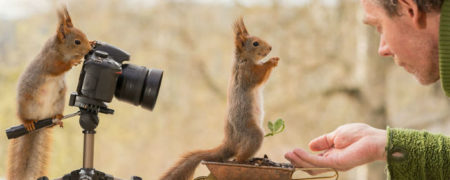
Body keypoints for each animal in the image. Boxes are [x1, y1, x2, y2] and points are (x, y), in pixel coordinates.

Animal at [5, 5, 93, 180]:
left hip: (58, 103)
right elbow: (58, 67)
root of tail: (40, 119)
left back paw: (57, 118)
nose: (89, 49)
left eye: (85, 36)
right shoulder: (49, 61)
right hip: (26, 105)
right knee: (25, 117)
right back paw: (28, 122)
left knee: (54, 118)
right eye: (77, 41)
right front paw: (74, 61)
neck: (59, 49)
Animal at [160, 17, 280, 180]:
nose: (271, 48)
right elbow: (258, 77)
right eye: (255, 43)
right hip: (252, 134)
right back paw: (249, 161)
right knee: (239, 157)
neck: (244, 59)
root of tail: (229, 142)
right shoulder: (245, 73)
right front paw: (271, 61)